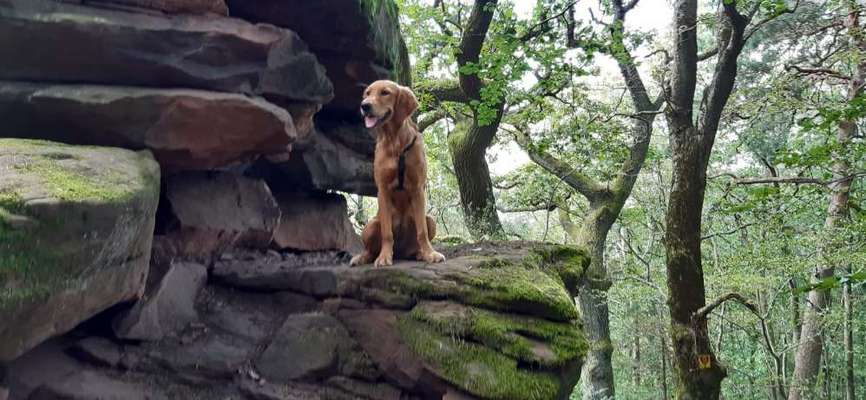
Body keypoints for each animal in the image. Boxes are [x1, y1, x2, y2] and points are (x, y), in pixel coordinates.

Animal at [350, 79, 446, 268]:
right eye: (367, 93)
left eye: (385, 92)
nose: (364, 106)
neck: (395, 143)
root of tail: (400, 252)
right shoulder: (383, 190)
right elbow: (387, 233)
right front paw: (384, 257)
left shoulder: (418, 189)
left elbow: (422, 232)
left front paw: (430, 253)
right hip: (371, 225)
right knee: (370, 250)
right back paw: (362, 258)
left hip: (430, 219)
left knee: (420, 236)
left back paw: (420, 254)